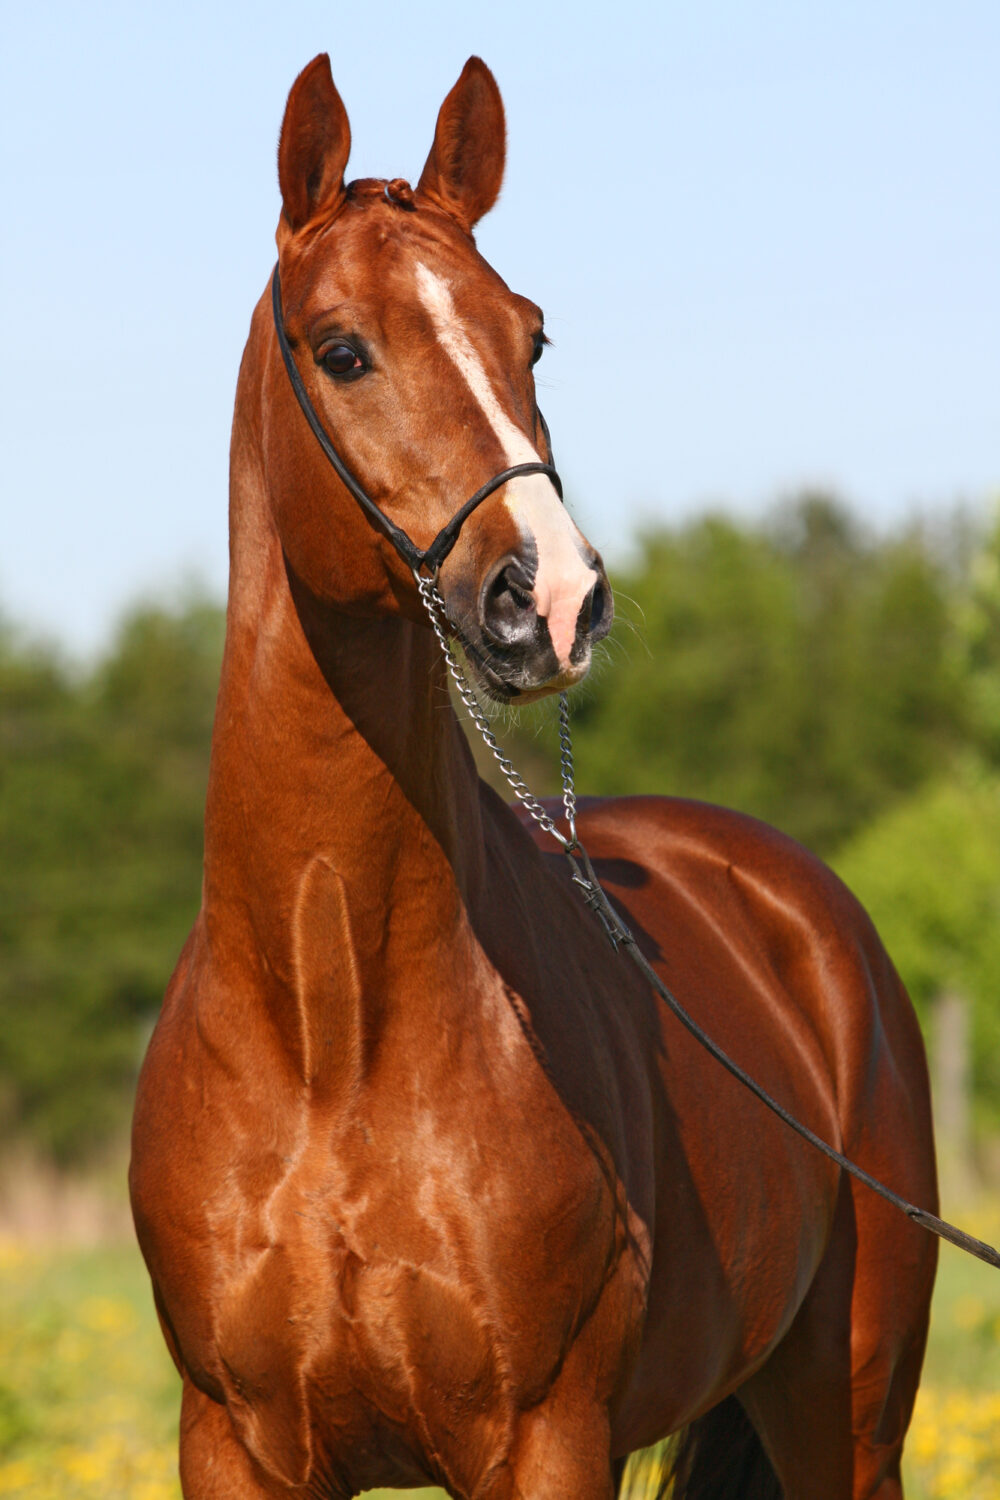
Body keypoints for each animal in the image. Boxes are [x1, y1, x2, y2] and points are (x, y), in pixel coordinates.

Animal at [129, 54, 938, 1500]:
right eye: (342, 348)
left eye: (533, 339)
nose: (551, 598)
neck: (330, 1039)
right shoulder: (233, 1445)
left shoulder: (547, 1438)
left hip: (845, 1415)